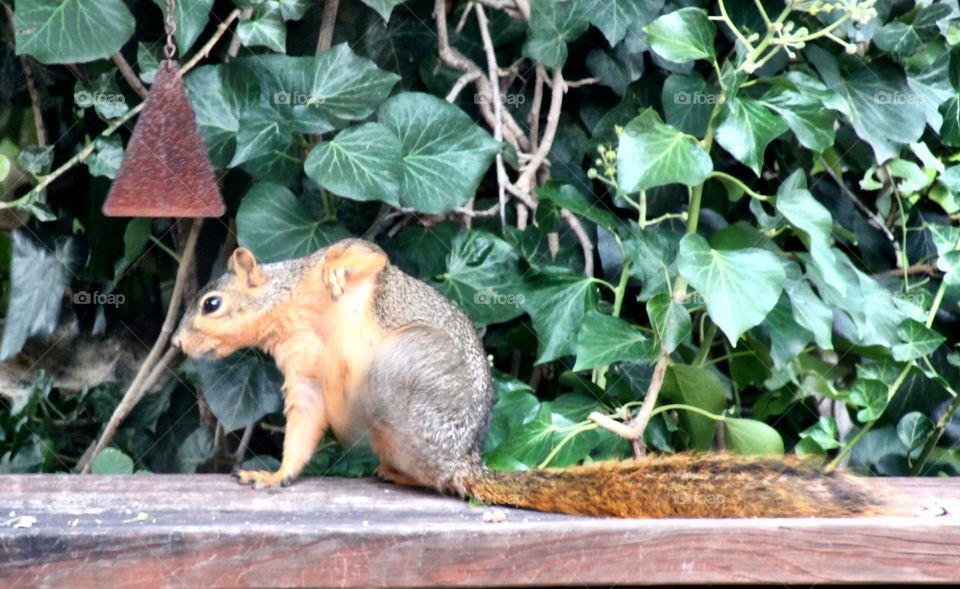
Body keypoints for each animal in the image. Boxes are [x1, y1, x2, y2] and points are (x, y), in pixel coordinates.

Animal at [174, 237, 884, 516]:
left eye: (211, 303)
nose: (178, 341)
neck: (293, 315)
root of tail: (463, 462)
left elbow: (356, 258)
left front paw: (341, 268)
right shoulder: (305, 377)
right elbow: (301, 432)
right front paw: (274, 476)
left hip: (400, 373)